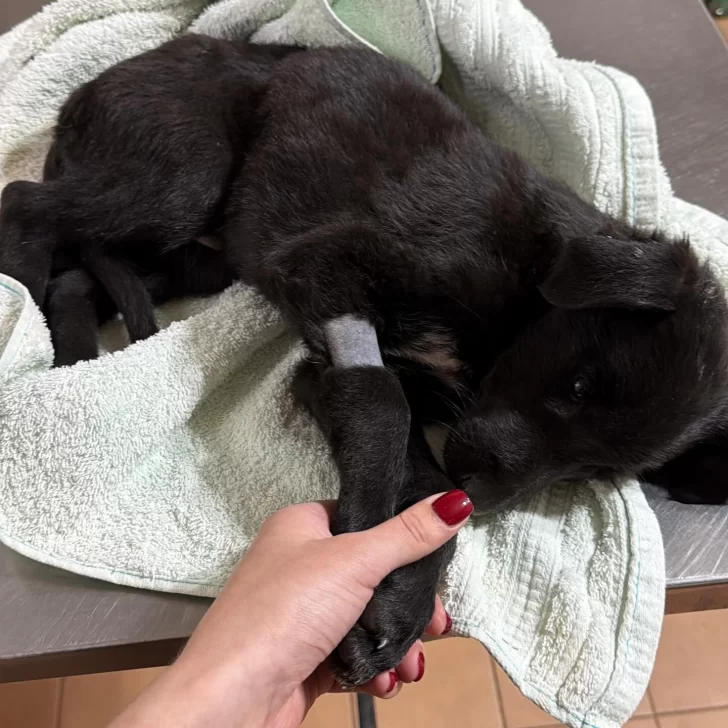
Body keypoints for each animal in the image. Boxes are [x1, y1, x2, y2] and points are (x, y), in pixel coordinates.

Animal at [1, 35, 727, 686]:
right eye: (577, 384)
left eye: (595, 470)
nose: (484, 498)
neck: (527, 285)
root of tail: (89, 90)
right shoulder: (327, 265)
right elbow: (380, 405)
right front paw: (357, 546)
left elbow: (423, 478)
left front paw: (397, 604)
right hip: (183, 172)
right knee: (24, 203)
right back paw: (22, 298)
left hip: (196, 255)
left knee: (78, 275)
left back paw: (71, 357)